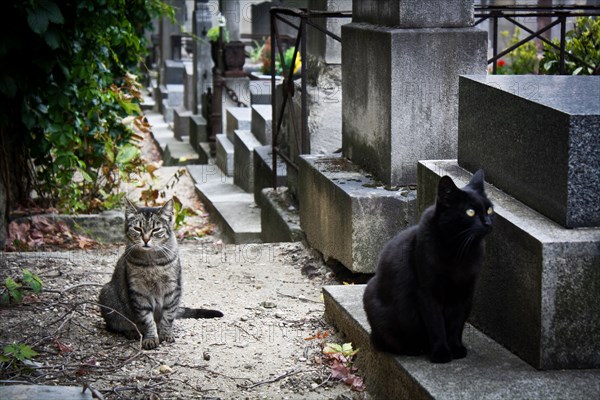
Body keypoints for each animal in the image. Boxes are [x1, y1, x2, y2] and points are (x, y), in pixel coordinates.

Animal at [99, 198, 224, 348]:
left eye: (156, 230)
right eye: (138, 229)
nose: (146, 239)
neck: (151, 262)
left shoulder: (172, 288)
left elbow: (168, 316)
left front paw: (165, 334)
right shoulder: (139, 292)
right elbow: (147, 319)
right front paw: (151, 338)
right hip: (107, 294)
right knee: (116, 325)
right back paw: (132, 332)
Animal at [364, 170, 494, 364]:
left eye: (490, 210)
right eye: (470, 212)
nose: (488, 223)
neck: (458, 251)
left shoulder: (464, 291)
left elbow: (456, 324)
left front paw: (456, 348)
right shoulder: (427, 292)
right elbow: (436, 325)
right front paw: (441, 353)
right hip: (373, 297)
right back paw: (414, 348)